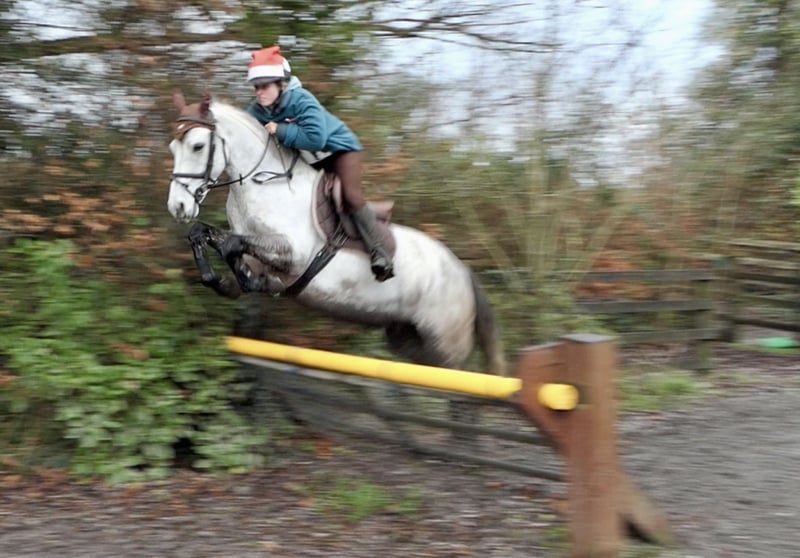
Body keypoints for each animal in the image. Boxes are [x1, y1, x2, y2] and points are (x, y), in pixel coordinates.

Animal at [166, 92, 506, 376]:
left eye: (197, 146)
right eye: (173, 147)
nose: (178, 206)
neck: (264, 185)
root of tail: (463, 273)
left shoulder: (293, 255)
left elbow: (233, 245)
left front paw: (254, 283)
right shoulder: (254, 252)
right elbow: (205, 235)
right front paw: (222, 281)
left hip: (447, 346)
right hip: (410, 341)